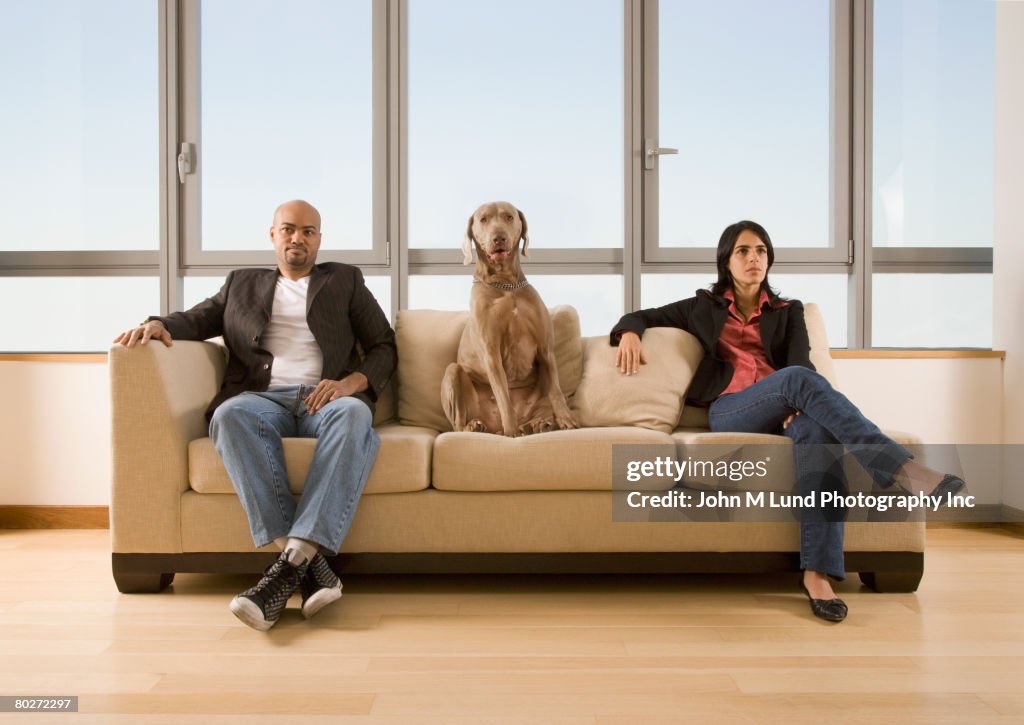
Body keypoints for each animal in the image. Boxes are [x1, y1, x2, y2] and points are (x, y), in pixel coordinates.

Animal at [442, 200, 581, 436]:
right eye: (483, 219)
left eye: (508, 217)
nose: (499, 237)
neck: (505, 284)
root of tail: (494, 428)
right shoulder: (491, 353)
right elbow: (503, 395)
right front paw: (512, 432)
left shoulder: (546, 349)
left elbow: (556, 391)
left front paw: (567, 420)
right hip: (452, 372)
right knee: (456, 424)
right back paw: (477, 426)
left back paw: (538, 425)